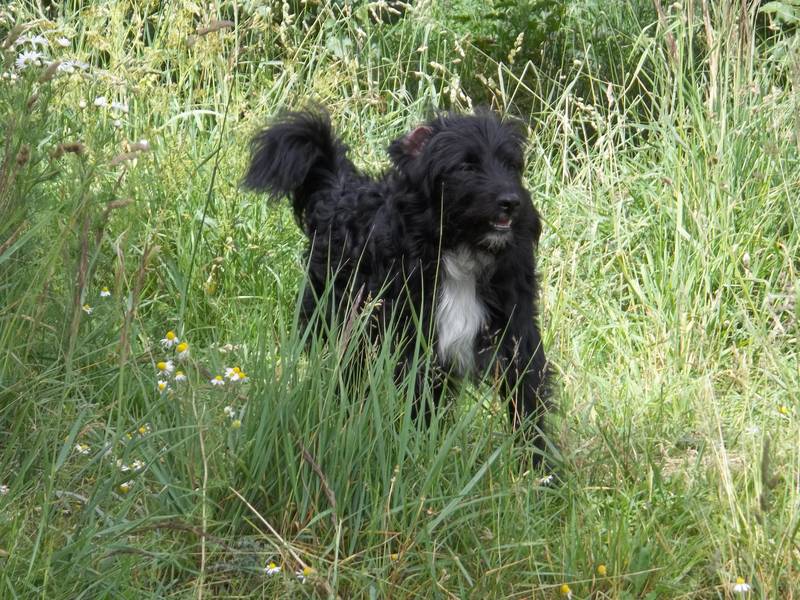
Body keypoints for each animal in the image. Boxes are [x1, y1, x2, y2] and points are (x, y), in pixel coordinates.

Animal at [243, 108, 551, 465]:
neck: (458, 249)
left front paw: (539, 466)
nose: (512, 202)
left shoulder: (515, 334)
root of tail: (340, 187)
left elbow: (527, 400)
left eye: (512, 165)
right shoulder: (408, 337)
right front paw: (415, 453)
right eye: (466, 166)